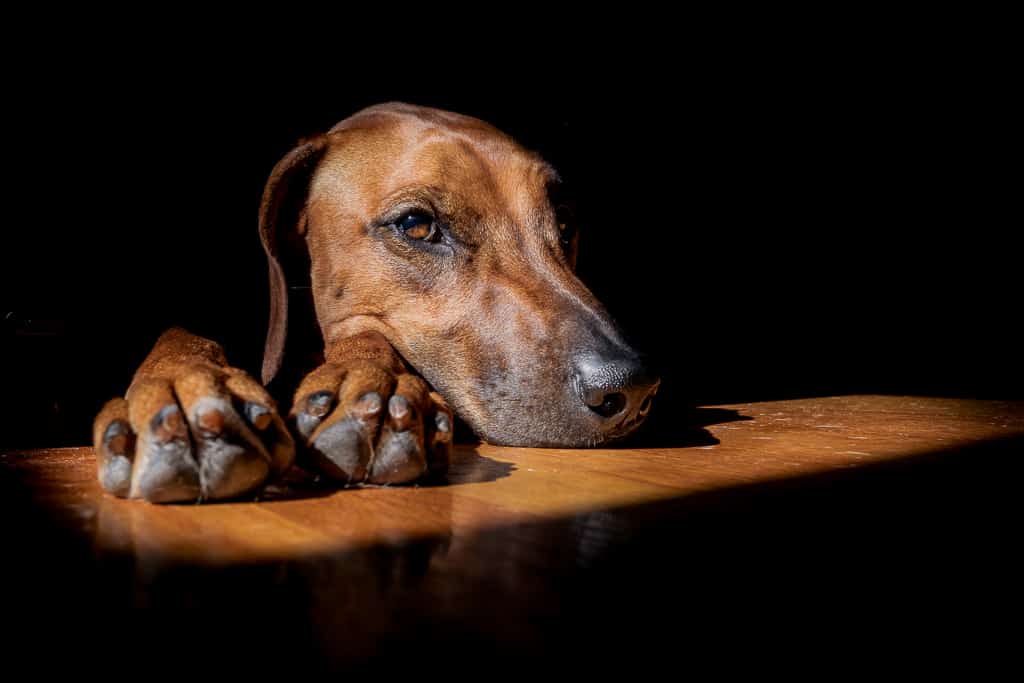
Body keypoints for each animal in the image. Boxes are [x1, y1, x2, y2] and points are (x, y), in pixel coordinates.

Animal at [92, 104, 659, 505]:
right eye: (416, 225)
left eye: (563, 223)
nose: (629, 387)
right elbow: (179, 330)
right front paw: (185, 390)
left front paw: (374, 386)